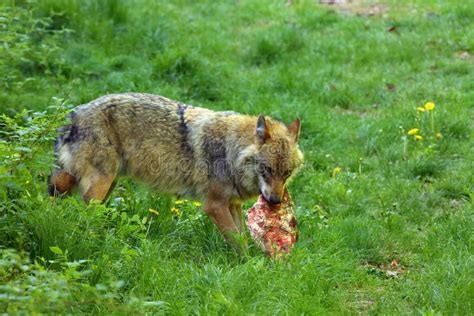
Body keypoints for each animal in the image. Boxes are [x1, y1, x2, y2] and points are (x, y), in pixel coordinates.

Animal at [49, 93, 304, 249]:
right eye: (266, 168)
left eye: (287, 172)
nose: (275, 201)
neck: (229, 150)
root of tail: (72, 114)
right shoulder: (214, 205)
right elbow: (239, 242)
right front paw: (250, 266)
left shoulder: (233, 204)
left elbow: (242, 237)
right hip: (99, 187)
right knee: (83, 216)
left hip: (106, 186)